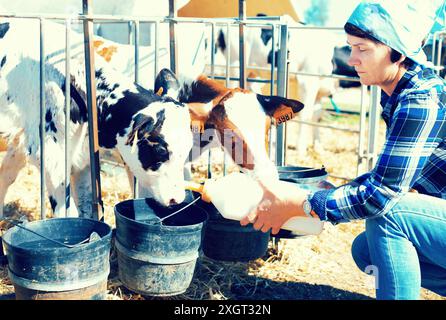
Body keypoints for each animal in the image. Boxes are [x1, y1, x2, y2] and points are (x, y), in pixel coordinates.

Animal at [0, 18, 194, 218]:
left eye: (188, 149)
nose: (176, 199)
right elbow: (67, 214)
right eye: (160, 150)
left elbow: (87, 208)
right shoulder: (51, 158)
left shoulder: (83, 160)